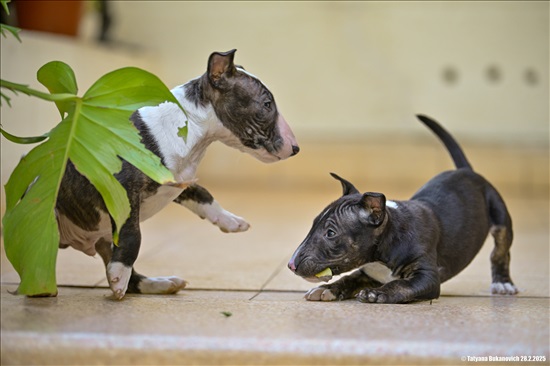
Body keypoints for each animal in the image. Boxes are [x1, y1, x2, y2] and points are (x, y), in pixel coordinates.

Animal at [55, 49, 302, 300]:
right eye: (267, 104)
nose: (295, 149)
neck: (190, 129)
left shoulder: (179, 180)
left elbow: (204, 194)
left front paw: (230, 220)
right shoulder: (122, 188)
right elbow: (132, 234)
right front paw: (118, 275)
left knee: (133, 278)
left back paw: (160, 283)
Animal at [292, 116, 520, 304]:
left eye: (331, 233)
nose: (291, 265)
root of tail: (465, 171)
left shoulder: (427, 276)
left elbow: (402, 285)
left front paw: (377, 293)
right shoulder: (367, 273)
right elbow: (349, 278)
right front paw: (327, 289)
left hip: (500, 217)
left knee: (500, 252)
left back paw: (503, 283)